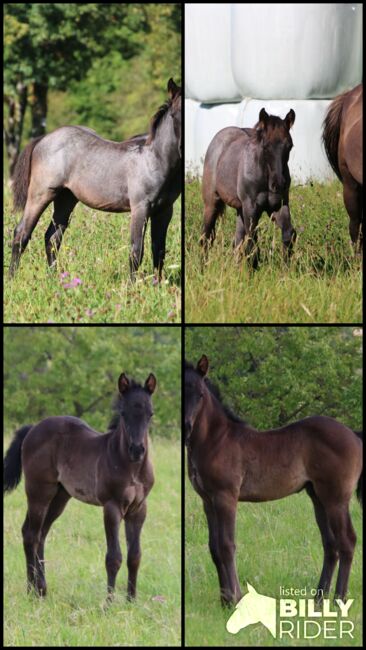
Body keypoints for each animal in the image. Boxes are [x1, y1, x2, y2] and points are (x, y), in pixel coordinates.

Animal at [3, 370, 157, 596]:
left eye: (150, 413)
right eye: (123, 413)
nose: (137, 450)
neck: (132, 468)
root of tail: (33, 429)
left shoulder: (139, 509)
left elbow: (134, 557)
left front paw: (131, 600)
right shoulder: (112, 507)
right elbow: (114, 558)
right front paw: (109, 602)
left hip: (59, 497)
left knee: (39, 533)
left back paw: (40, 589)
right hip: (39, 491)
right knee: (31, 535)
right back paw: (33, 590)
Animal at [8, 77, 180, 278]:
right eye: (175, 115)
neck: (155, 159)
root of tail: (43, 139)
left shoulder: (165, 210)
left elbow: (158, 249)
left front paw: (158, 283)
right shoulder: (140, 208)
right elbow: (137, 250)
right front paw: (133, 284)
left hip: (66, 198)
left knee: (52, 237)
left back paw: (54, 278)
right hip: (41, 194)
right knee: (22, 233)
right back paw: (12, 278)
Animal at [184, 354, 362, 604]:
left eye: (200, 394)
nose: (186, 427)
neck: (216, 440)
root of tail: (355, 436)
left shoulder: (225, 496)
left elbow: (227, 545)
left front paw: (236, 599)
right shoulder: (207, 501)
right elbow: (214, 548)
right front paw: (225, 601)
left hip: (337, 499)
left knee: (347, 541)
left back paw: (339, 599)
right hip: (318, 497)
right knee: (331, 545)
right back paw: (318, 598)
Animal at [200, 109, 298, 266]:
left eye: (289, 146)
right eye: (265, 146)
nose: (278, 184)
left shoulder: (278, 205)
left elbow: (288, 234)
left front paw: (286, 268)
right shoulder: (251, 207)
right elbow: (252, 241)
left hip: (240, 209)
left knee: (237, 241)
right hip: (212, 203)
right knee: (206, 237)